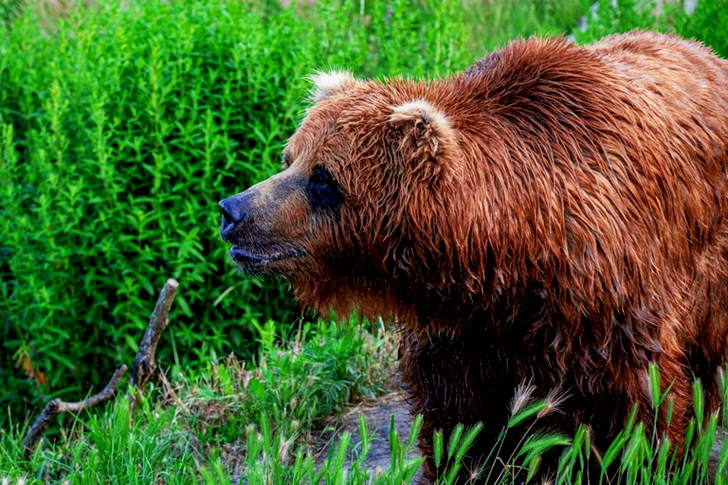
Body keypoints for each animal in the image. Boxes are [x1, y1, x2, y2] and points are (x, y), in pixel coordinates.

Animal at [219, 31, 728, 483]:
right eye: (290, 158)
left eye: (323, 178)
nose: (232, 210)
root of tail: (704, 51)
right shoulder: (463, 336)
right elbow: (460, 424)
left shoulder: (605, 306)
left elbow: (641, 412)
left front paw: (656, 464)